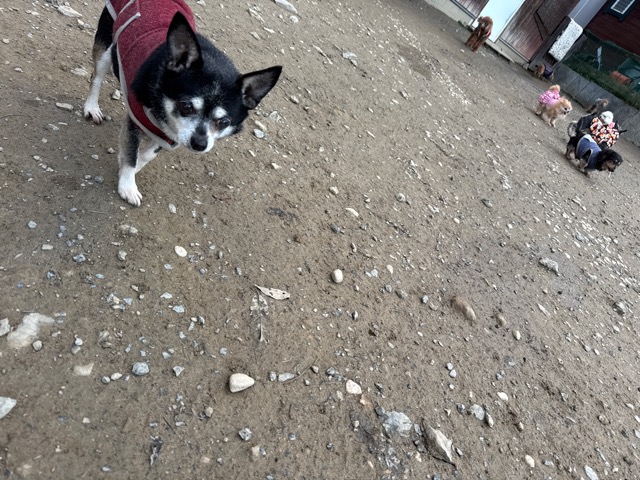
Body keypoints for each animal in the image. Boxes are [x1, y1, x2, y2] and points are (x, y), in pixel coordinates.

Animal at [83, 0, 282, 206]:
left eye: (224, 122)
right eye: (186, 106)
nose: (200, 144)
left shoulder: (170, 135)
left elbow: (147, 154)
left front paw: (134, 168)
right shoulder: (135, 121)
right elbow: (131, 154)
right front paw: (128, 185)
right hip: (107, 45)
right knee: (96, 78)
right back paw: (92, 107)